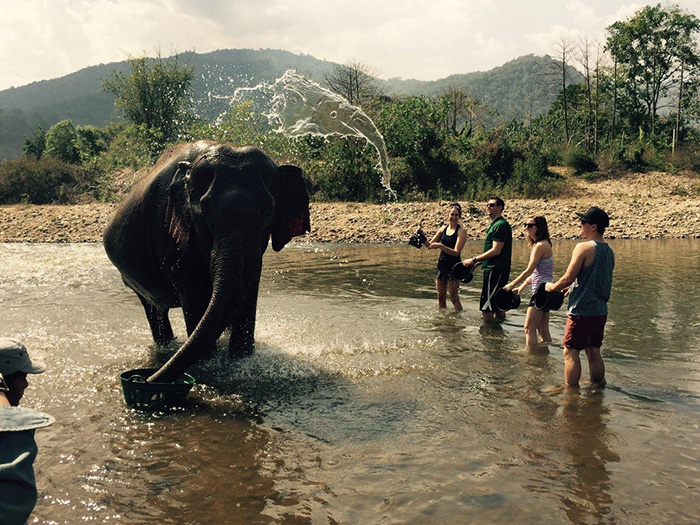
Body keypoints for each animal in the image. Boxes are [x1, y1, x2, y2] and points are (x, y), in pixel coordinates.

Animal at [103, 140, 310, 383]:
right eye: (205, 215)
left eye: (268, 214)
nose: (146, 380)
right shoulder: (168, 232)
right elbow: (195, 295)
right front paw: (208, 364)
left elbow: (247, 293)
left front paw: (241, 361)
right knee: (154, 310)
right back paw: (166, 347)